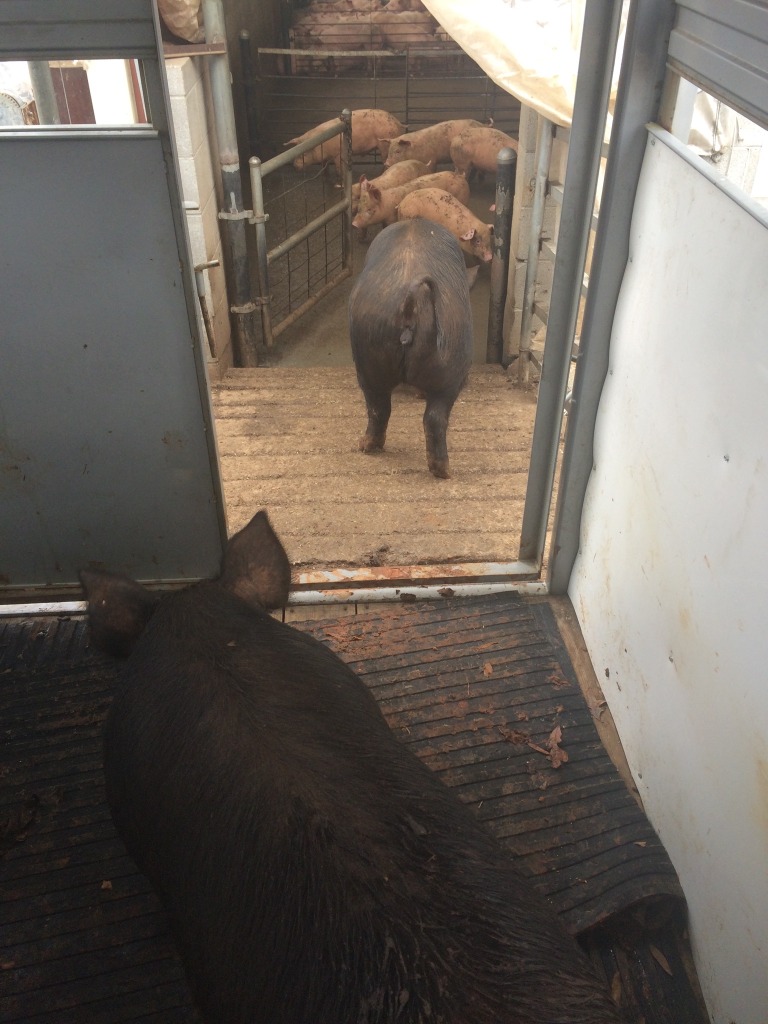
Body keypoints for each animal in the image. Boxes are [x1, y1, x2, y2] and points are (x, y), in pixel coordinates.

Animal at [350, 217, 475, 479]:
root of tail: (411, 300)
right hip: (453, 360)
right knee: (435, 418)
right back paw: (445, 472)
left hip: (368, 353)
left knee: (378, 408)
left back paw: (365, 446)